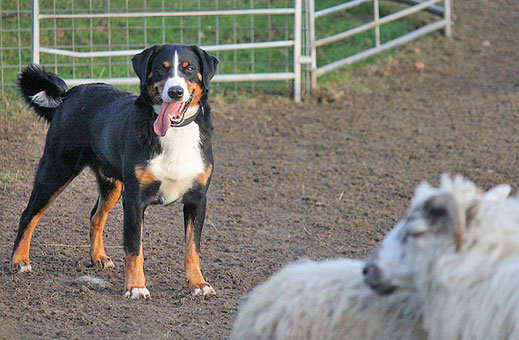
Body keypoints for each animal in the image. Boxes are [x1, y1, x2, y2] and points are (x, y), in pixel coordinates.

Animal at [12, 43, 219, 298]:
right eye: (162, 68)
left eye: (189, 68)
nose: (175, 92)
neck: (175, 132)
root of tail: (70, 94)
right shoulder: (134, 199)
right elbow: (134, 248)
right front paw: (136, 287)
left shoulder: (197, 200)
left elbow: (192, 248)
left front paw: (198, 283)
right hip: (56, 170)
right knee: (29, 214)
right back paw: (19, 260)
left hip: (112, 184)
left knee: (96, 216)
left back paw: (98, 257)